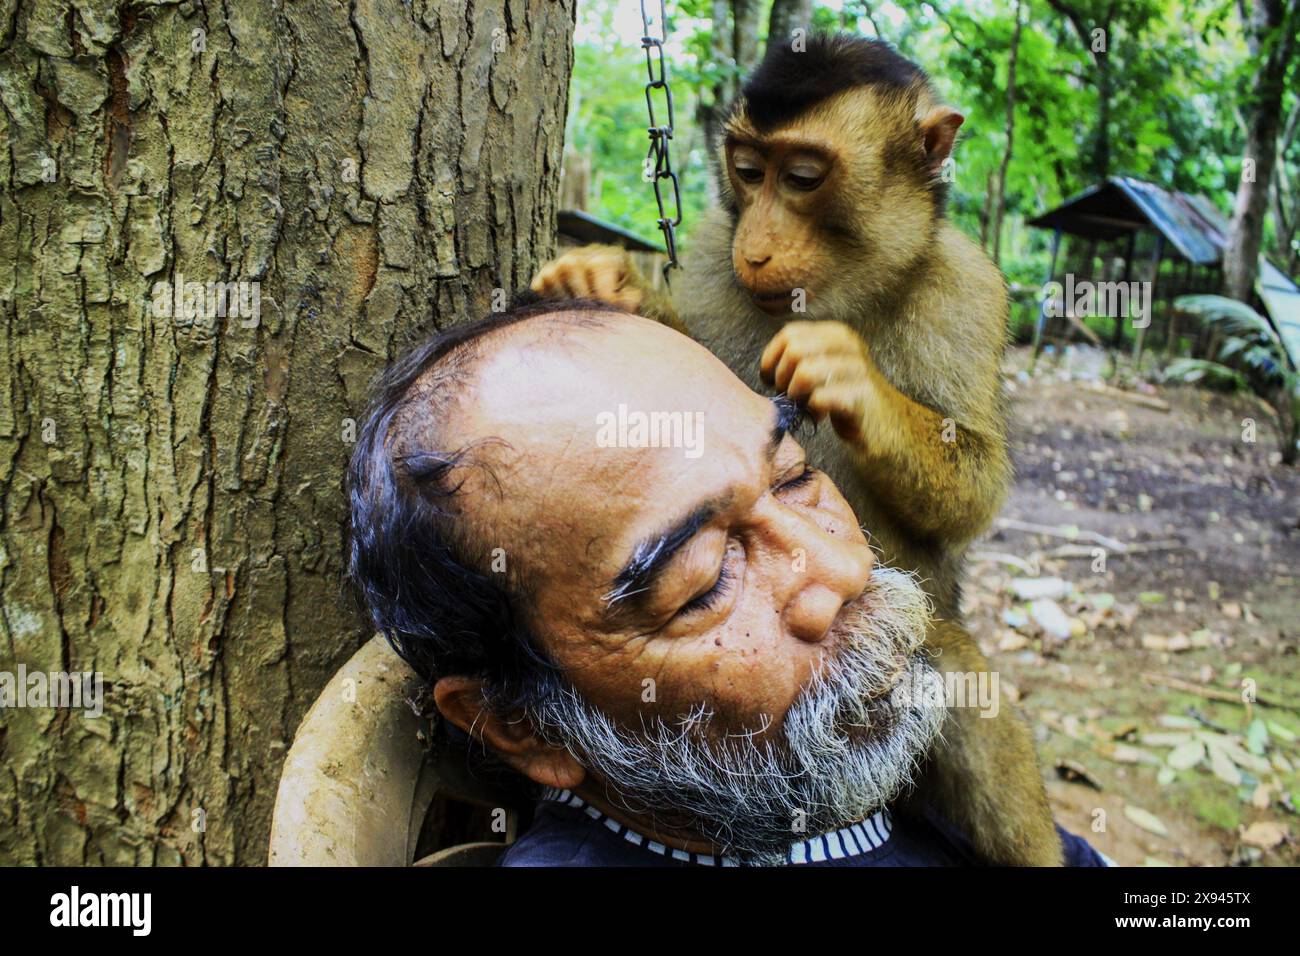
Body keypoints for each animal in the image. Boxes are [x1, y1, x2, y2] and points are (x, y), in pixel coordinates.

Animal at [530, 31, 1066, 868]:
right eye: (749, 172)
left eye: (804, 178)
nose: (757, 246)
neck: (844, 293)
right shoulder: (712, 257)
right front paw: (609, 285)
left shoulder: (969, 289)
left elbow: (977, 483)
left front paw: (846, 374)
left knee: (958, 677)